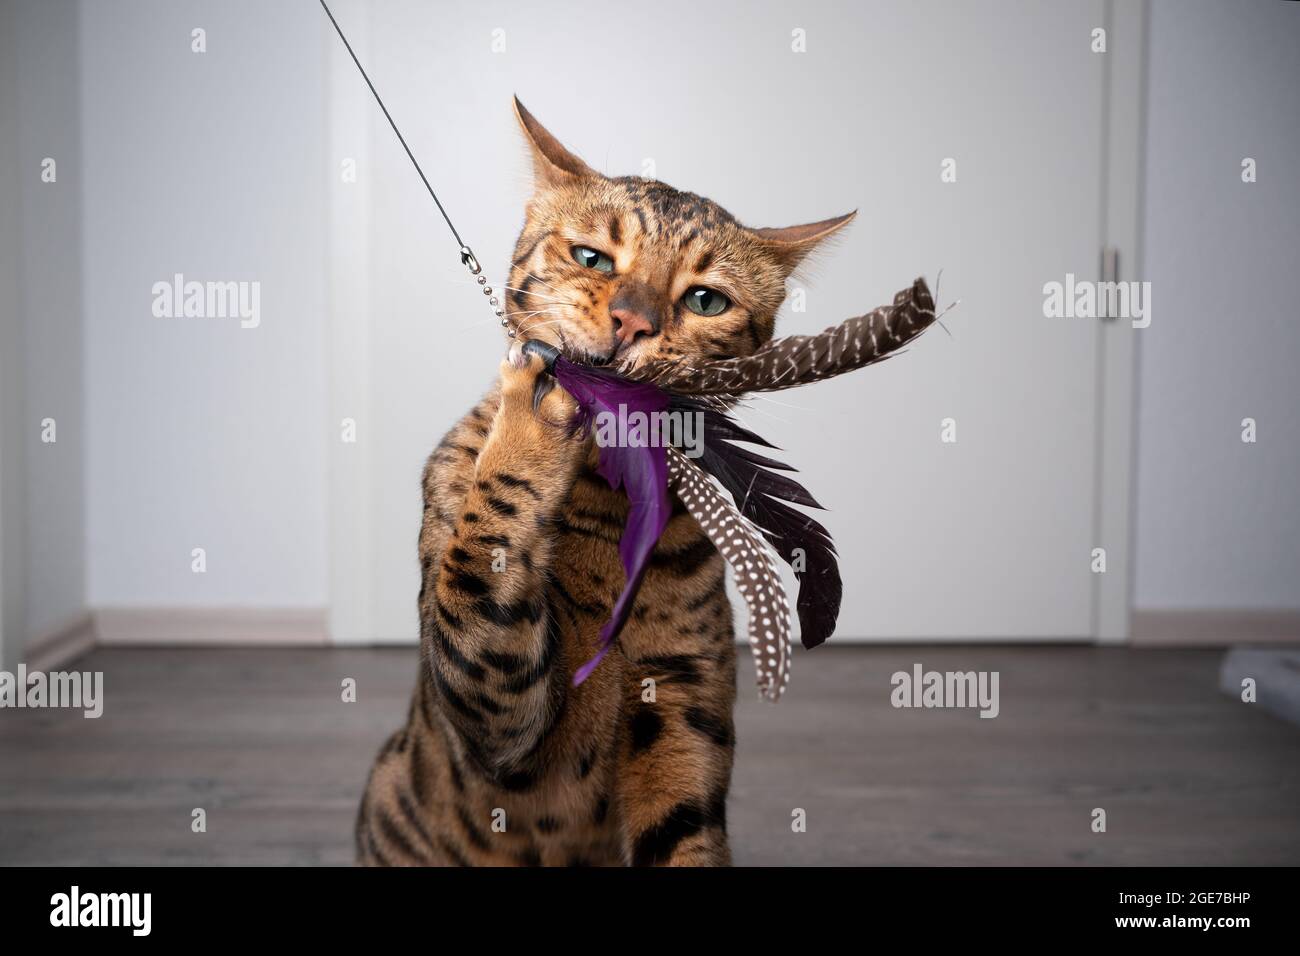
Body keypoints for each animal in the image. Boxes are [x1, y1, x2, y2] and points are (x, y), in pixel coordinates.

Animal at [356, 98, 857, 868]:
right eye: (591, 257)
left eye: (705, 300)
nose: (632, 322)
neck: (608, 497)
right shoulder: (496, 717)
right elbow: (475, 560)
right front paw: (535, 408)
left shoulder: (684, 699)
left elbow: (682, 832)